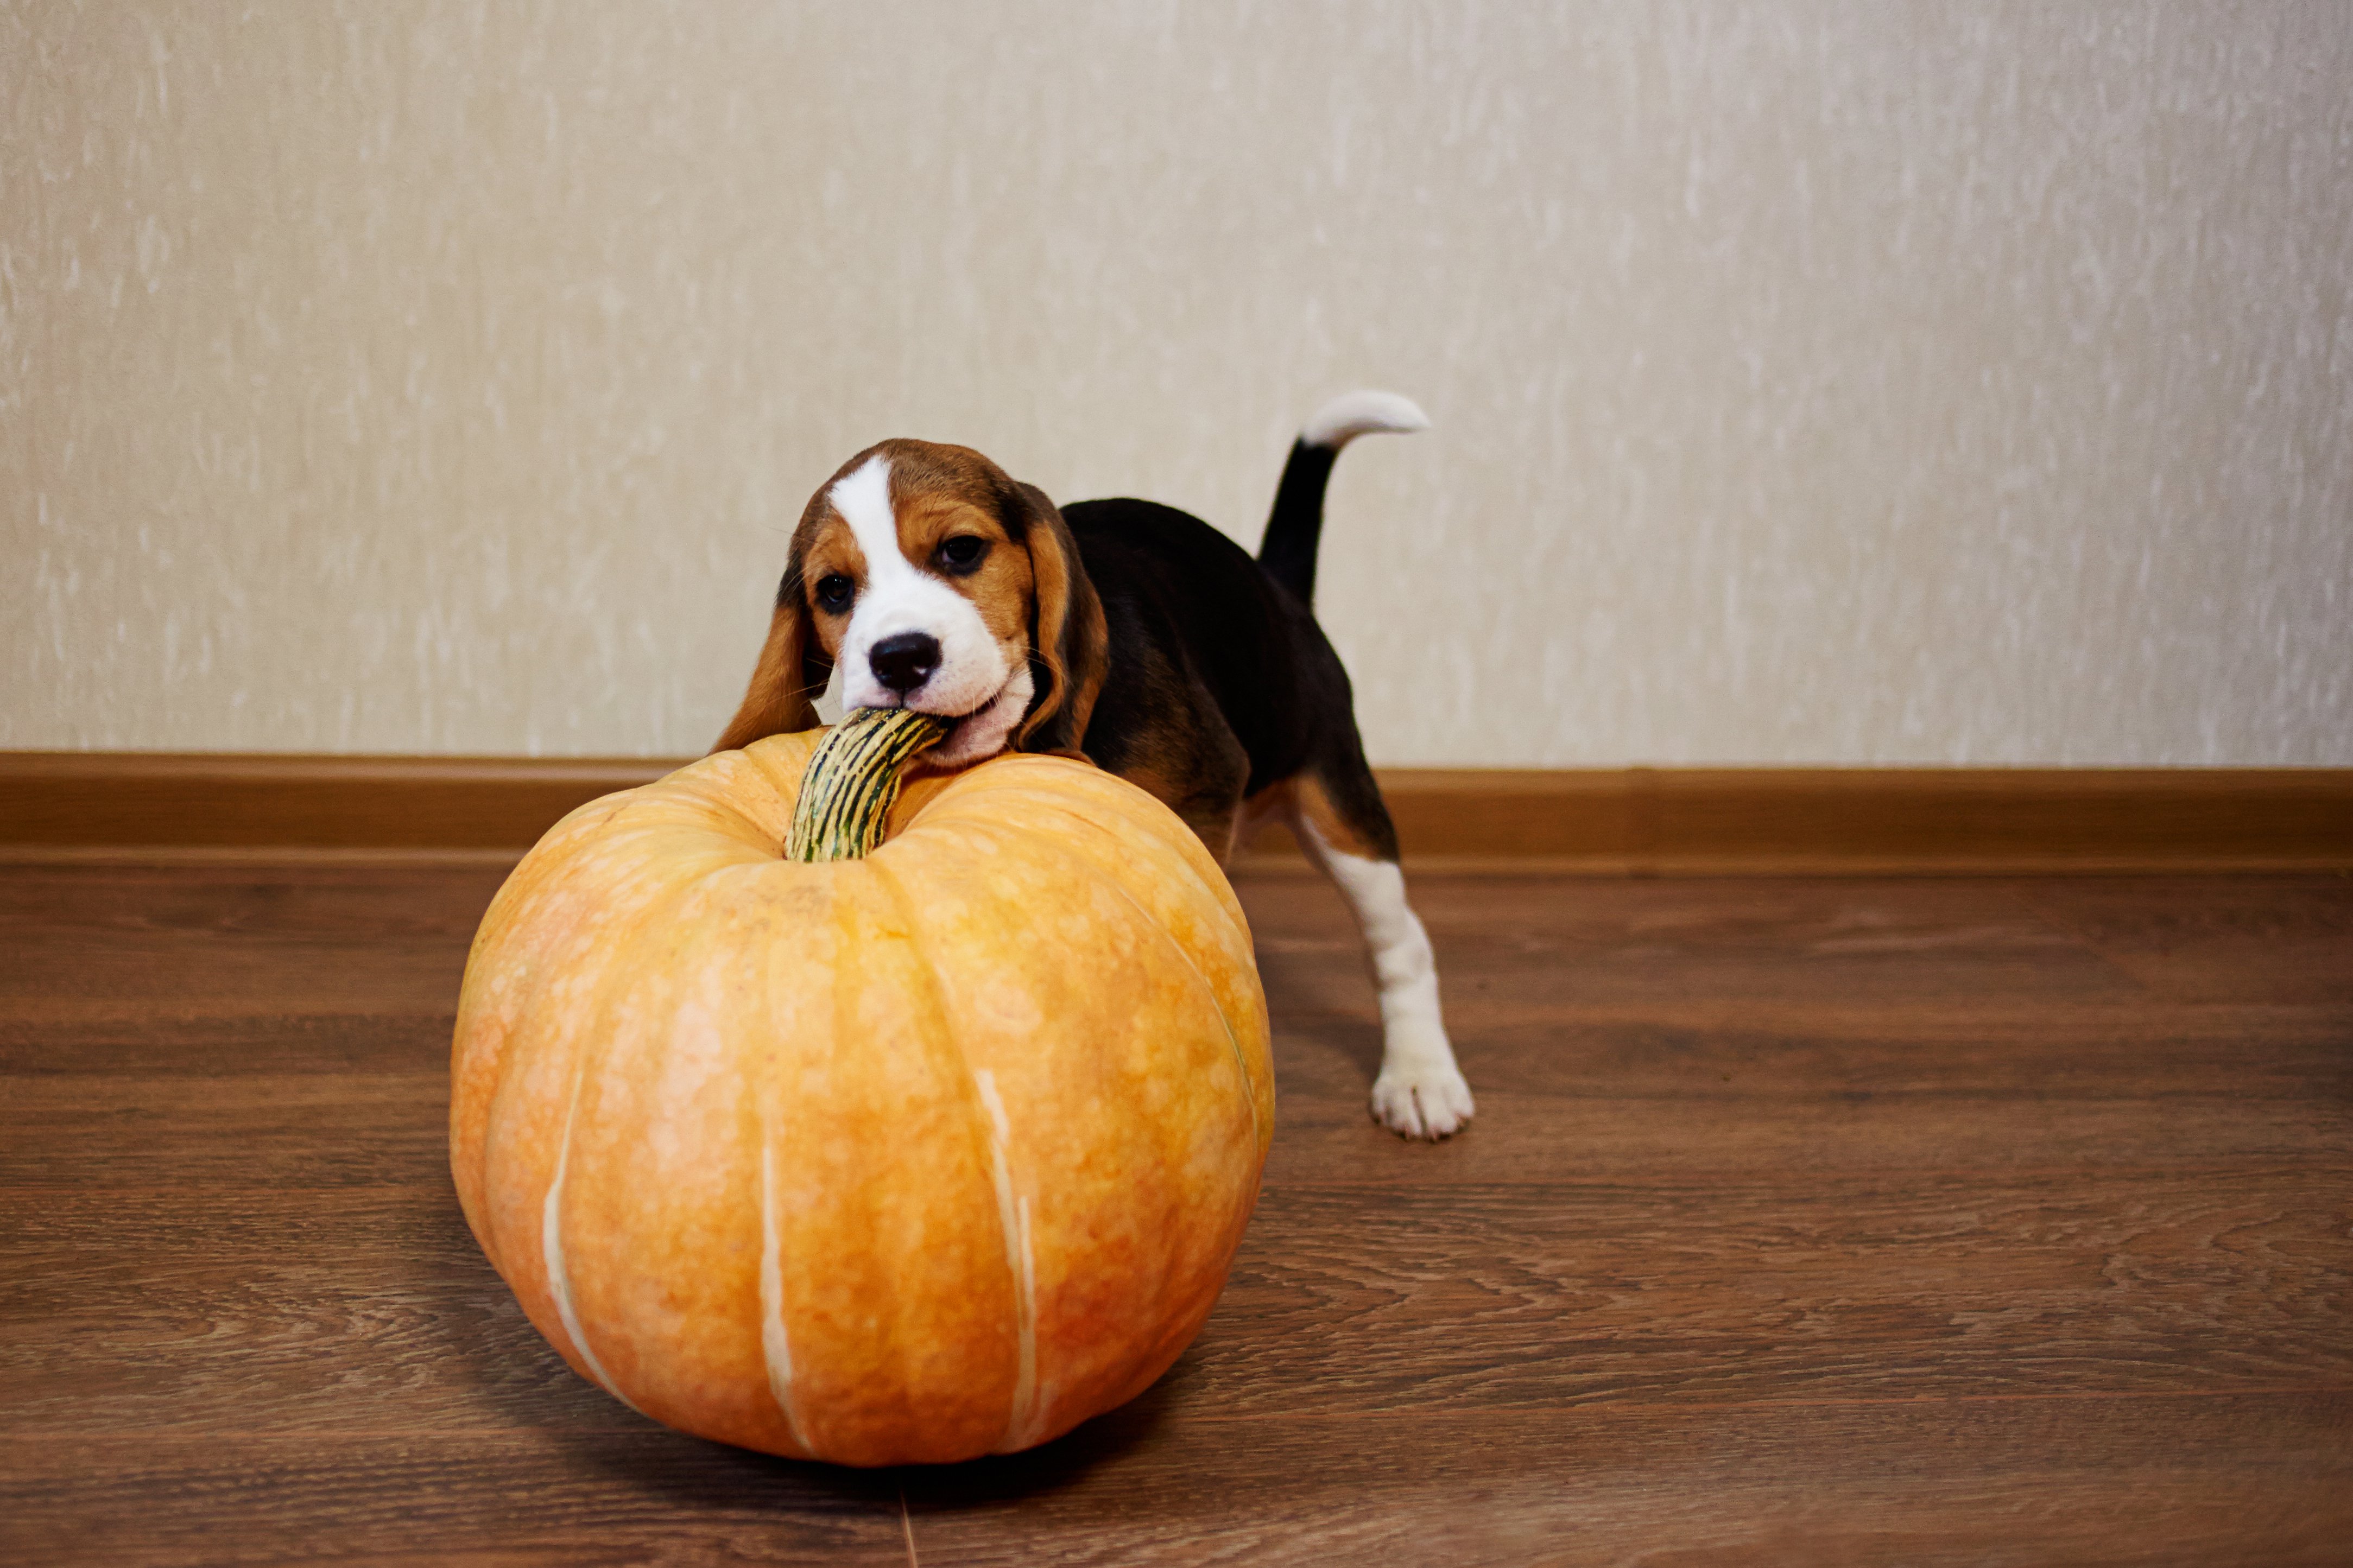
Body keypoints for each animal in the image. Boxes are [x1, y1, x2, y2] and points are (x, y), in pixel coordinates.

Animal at [710, 392, 1468, 1142]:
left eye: (961, 550)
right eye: (836, 591)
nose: (899, 658)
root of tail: (1277, 590)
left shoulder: (1206, 792)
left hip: (1334, 799)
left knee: (1401, 941)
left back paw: (1419, 1076)